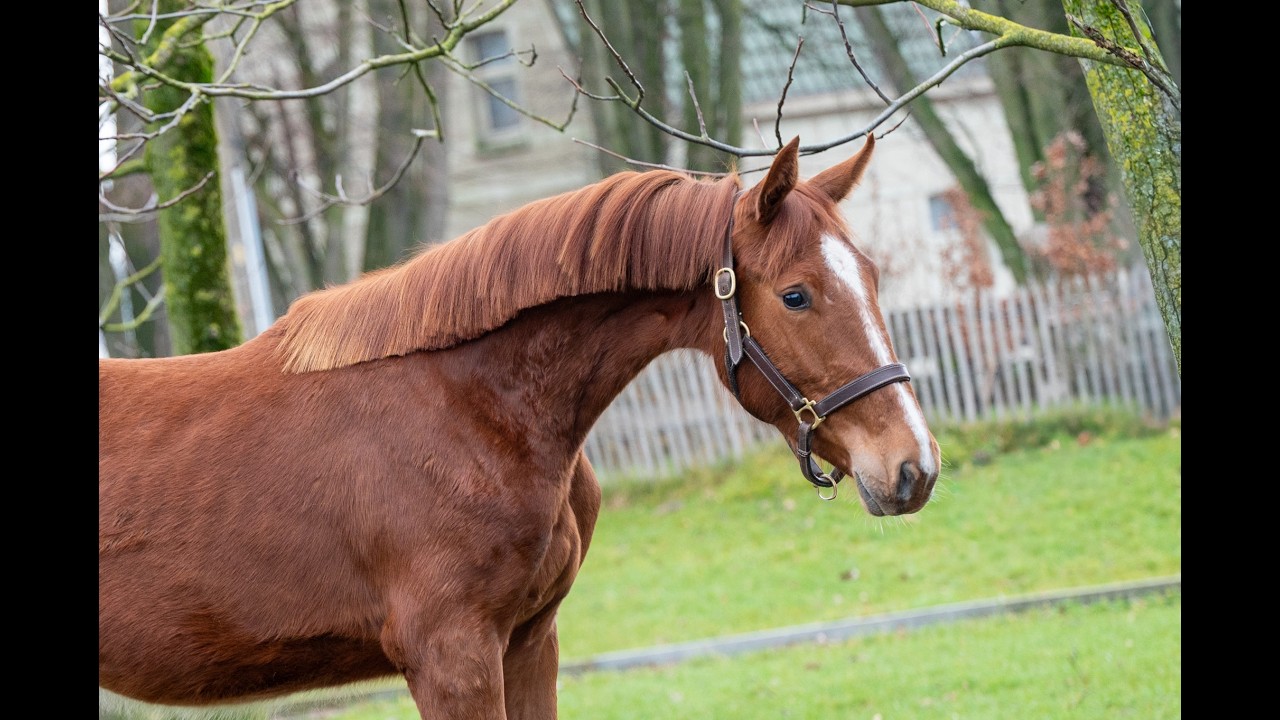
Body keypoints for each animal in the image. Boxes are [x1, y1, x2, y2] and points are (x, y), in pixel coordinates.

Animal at [99, 135, 940, 719]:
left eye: (871, 274)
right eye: (797, 295)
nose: (914, 467)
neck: (468, 407)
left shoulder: (530, 641)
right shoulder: (452, 657)